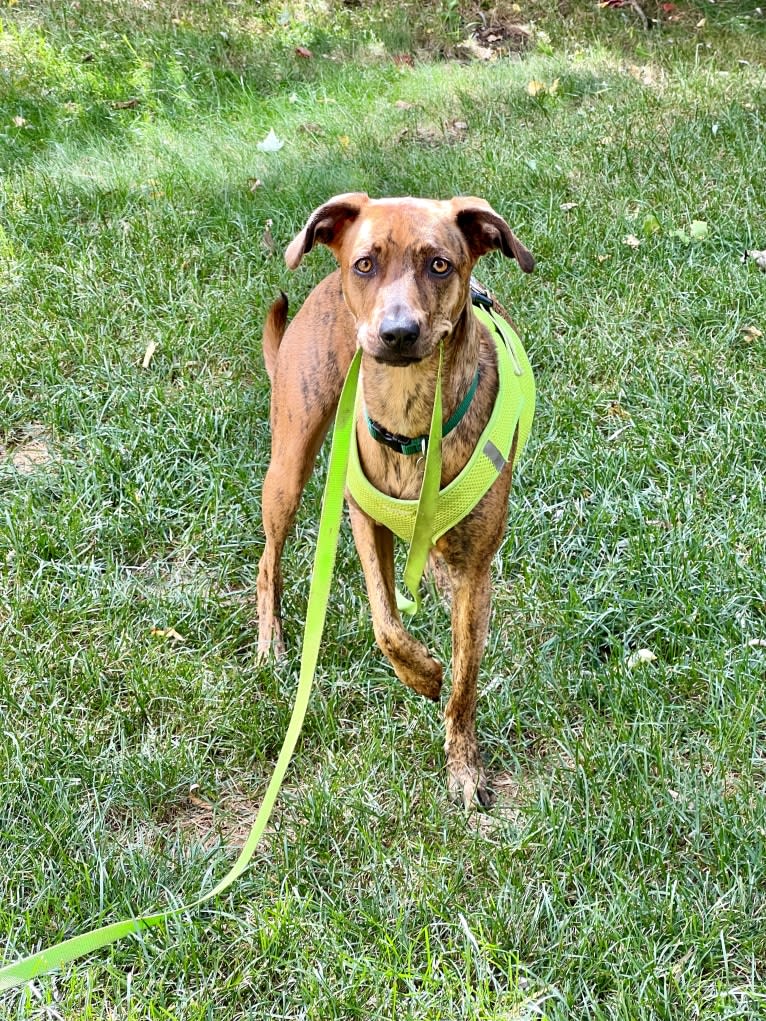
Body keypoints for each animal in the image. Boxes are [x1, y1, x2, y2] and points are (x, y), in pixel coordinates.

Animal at [258, 195, 535, 808]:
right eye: (365, 264)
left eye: (440, 265)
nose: (399, 332)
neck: (411, 423)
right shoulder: (364, 523)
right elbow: (385, 621)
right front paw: (422, 673)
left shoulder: (477, 570)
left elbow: (464, 680)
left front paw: (464, 766)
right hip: (288, 465)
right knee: (268, 560)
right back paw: (270, 640)